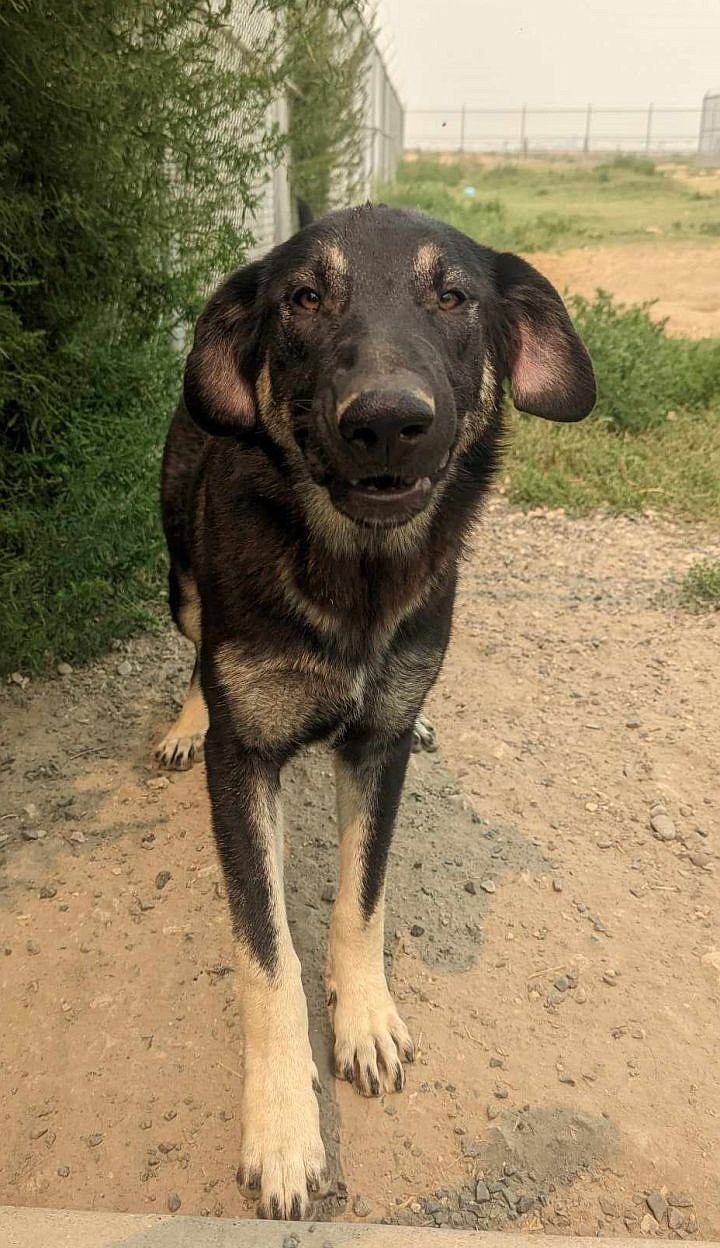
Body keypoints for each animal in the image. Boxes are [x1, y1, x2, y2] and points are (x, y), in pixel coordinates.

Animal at [154, 204, 591, 1218]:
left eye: (455, 295)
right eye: (304, 298)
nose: (388, 422)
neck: (354, 573)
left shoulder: (376, 748)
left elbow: (363, 897)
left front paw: (365, 1020)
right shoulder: (245, 762)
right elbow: (266, 952)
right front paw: (283, 1128)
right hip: (180, 574)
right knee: (192, 642)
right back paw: (185, 720)